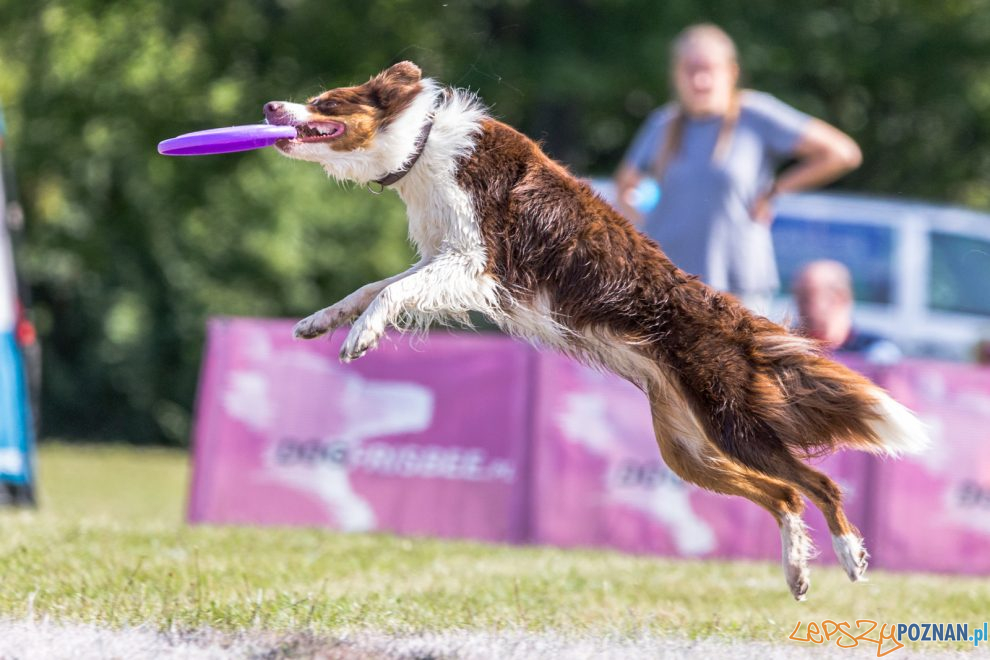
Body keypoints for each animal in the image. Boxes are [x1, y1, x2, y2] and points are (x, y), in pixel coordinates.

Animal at [264, 62, 928, 600]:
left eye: (326, 102)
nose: (271, 107)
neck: (424, 147)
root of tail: (741, 326)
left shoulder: (473, 262)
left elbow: (391, 293)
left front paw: (361, 337)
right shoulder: (442, 260)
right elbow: (371, 288)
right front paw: (321, 320)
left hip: (735, 425)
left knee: (821, 483)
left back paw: (851, 557)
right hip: (690, 450)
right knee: (784, 495)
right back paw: (795, 571)